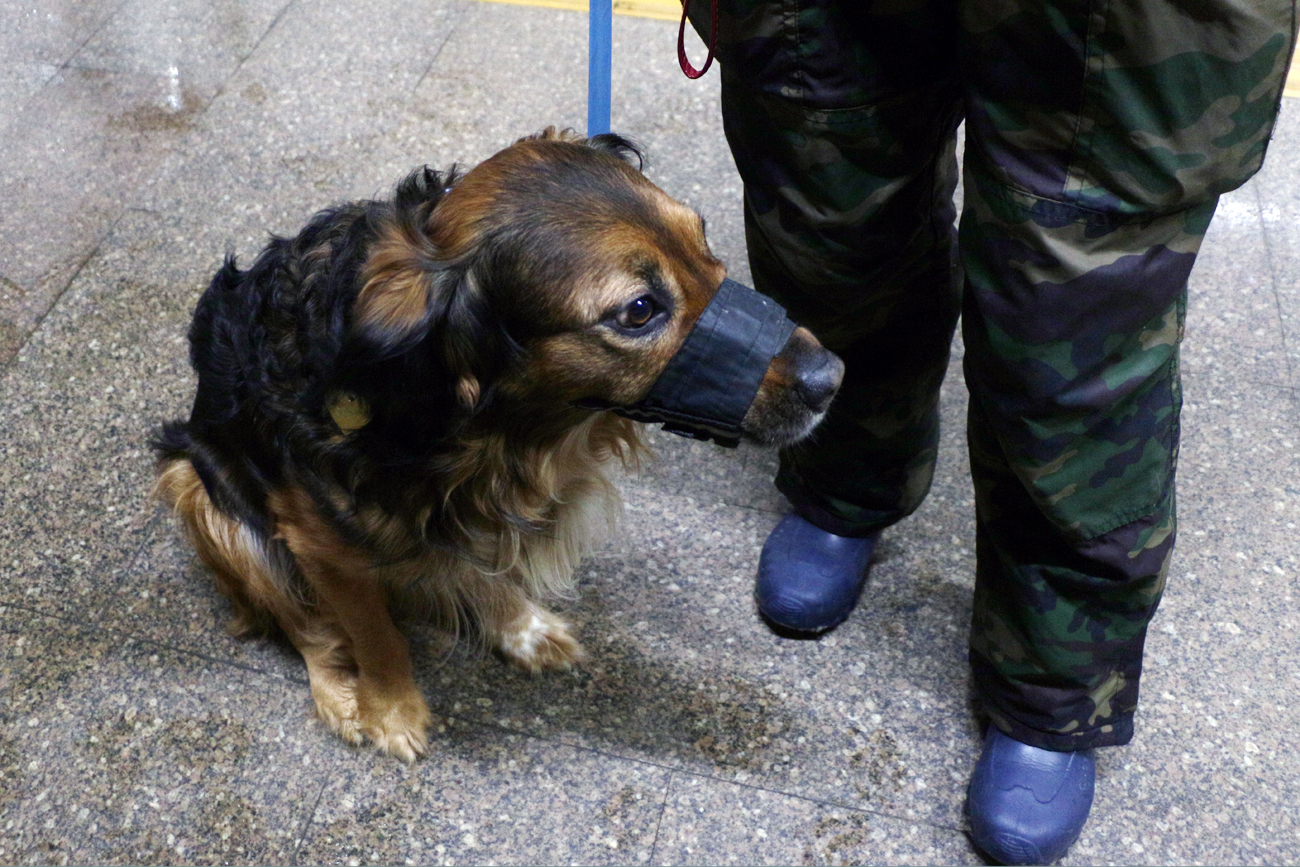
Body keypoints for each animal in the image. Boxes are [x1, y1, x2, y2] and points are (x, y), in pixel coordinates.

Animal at [152, 127, 842, 759]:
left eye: (702, 242)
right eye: (640, 310)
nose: (832, 377)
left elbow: (473, 562)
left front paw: (516, 626)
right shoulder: (319, 540)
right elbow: (372, 632)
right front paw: (391, 712)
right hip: (197, 489)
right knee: (309, 627)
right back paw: (340, 693)